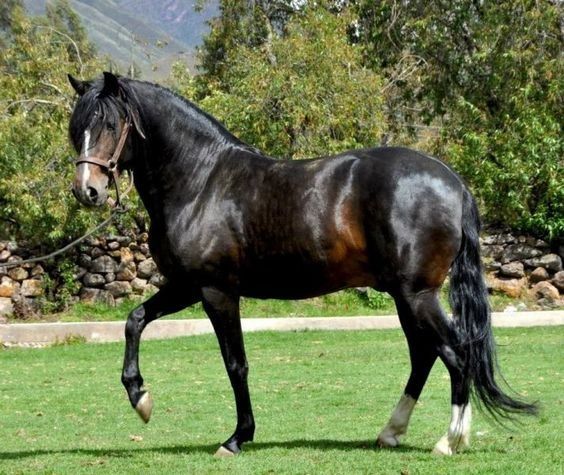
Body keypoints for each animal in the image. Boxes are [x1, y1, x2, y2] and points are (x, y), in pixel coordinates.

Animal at [67, 70, 536, 458]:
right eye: (78, 129)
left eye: (110, 125)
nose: (87, 191)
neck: (201, 182)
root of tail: (453, 182)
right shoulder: (186, 286)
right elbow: (135, 320)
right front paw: (140, 398)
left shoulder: (217, 292)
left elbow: (235, 364)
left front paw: (236, 438)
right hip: (406, 297)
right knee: (425, 355)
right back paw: (392, 432)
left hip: (417, 295)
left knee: (456, 354)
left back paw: (449, 440)